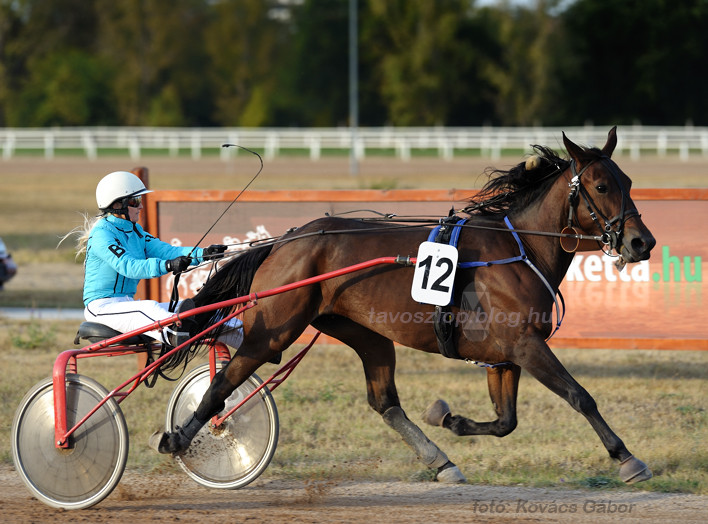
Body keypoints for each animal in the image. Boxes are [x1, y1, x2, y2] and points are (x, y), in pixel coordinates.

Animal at [152, 128, 656, 488]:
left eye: (629, 182)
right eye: (600, 185)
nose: (641, 242)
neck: (519, 248)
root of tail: (286, 240)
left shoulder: (505, 355)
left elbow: (505, 422)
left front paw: (450, 418)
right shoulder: (525, 345)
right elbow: (579, 395)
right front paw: (627, 457)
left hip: (366, 333)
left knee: (384, 402)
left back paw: (440, 460)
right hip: (272, 329)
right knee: (223, 384)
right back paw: (180, 437)